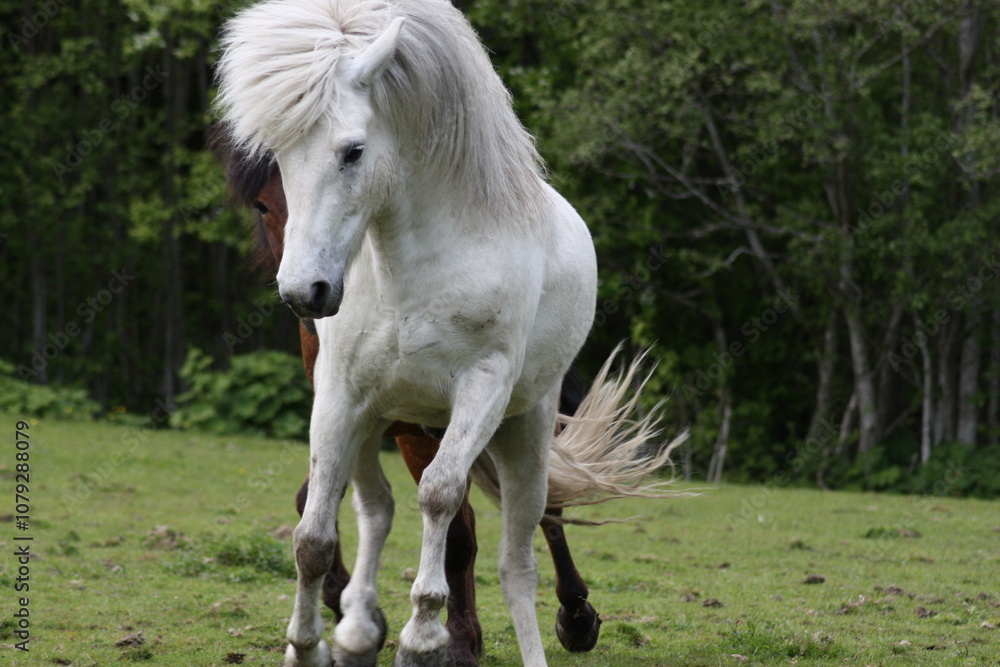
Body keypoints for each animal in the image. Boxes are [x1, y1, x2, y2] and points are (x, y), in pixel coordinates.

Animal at [216, 139, 609, 664]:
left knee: (544, 510)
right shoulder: (353, 415)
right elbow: (318, 504)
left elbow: (456, 524)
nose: (312, 294)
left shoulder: (430, 428)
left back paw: (576, 615)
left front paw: (456, 640)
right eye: (262, 205)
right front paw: (346, 613)